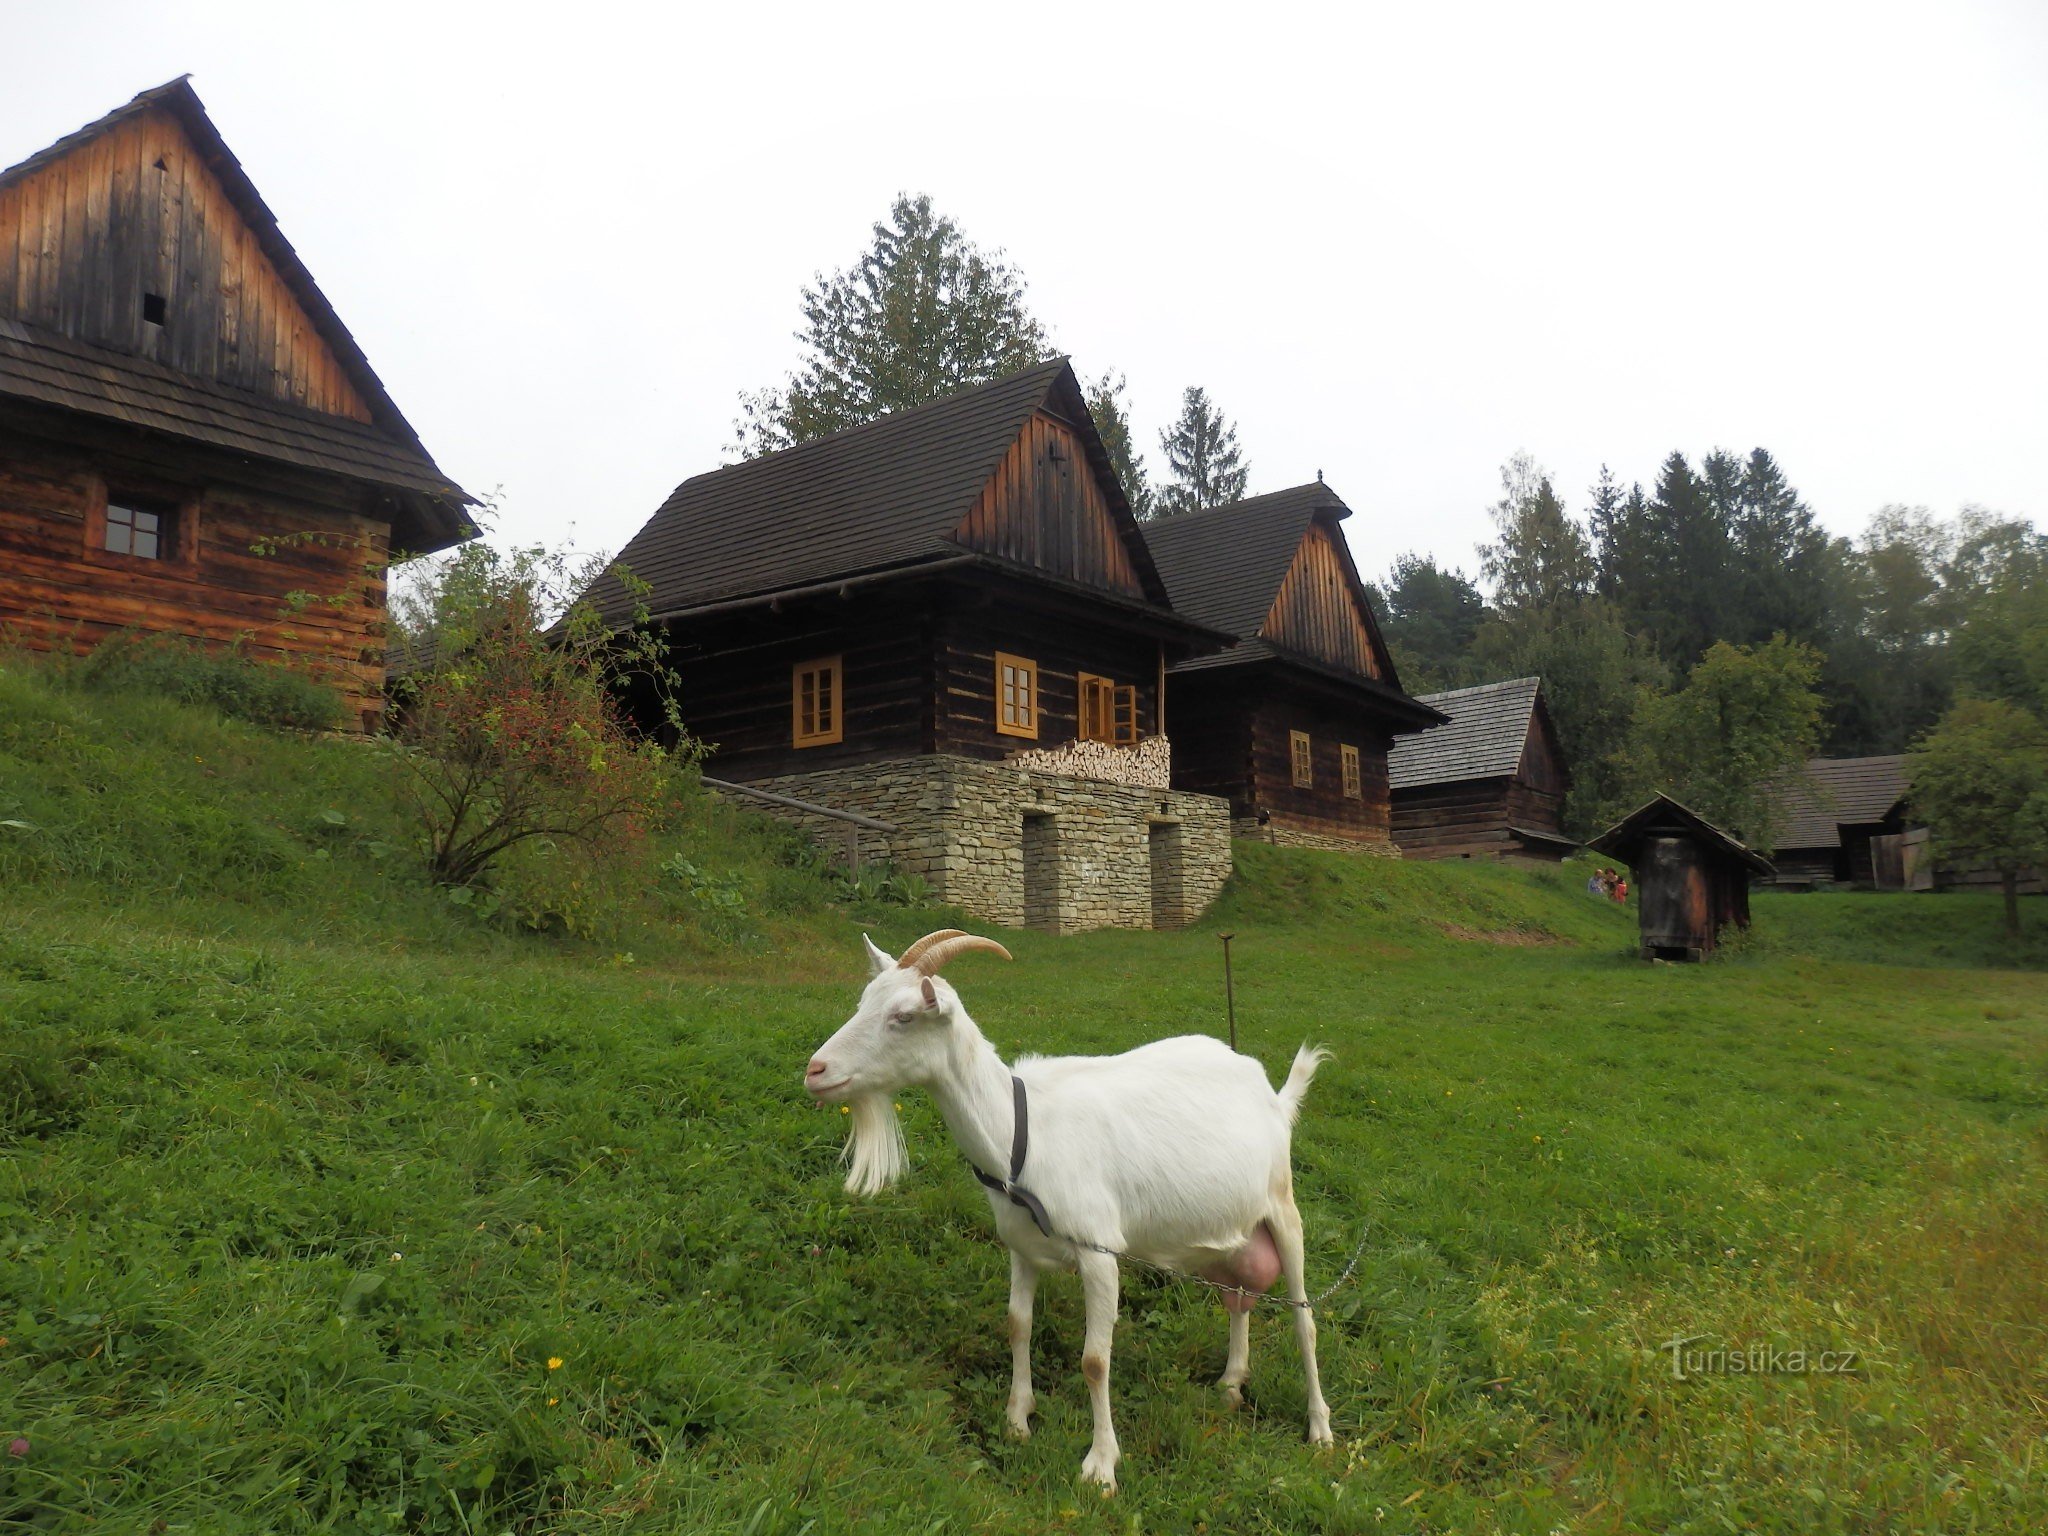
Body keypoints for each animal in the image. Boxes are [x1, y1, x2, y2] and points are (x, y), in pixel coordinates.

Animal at [806, 925, 1335, 1490]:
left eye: (903, 1017)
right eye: (864, 1002)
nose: (815, 1070)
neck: (1020, 1132)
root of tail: (1272, 1094)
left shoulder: (1099, 1250)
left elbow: (1095, 1360)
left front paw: (1101, 1466)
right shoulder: (1021, 1246)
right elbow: (1017, 1324)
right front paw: (1017, 1419)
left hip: (1283, 1206)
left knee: (1304, 1317)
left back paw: (1320, 1428)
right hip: (1227, 1237)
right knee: (1237, 1298)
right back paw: (1232, 1383)